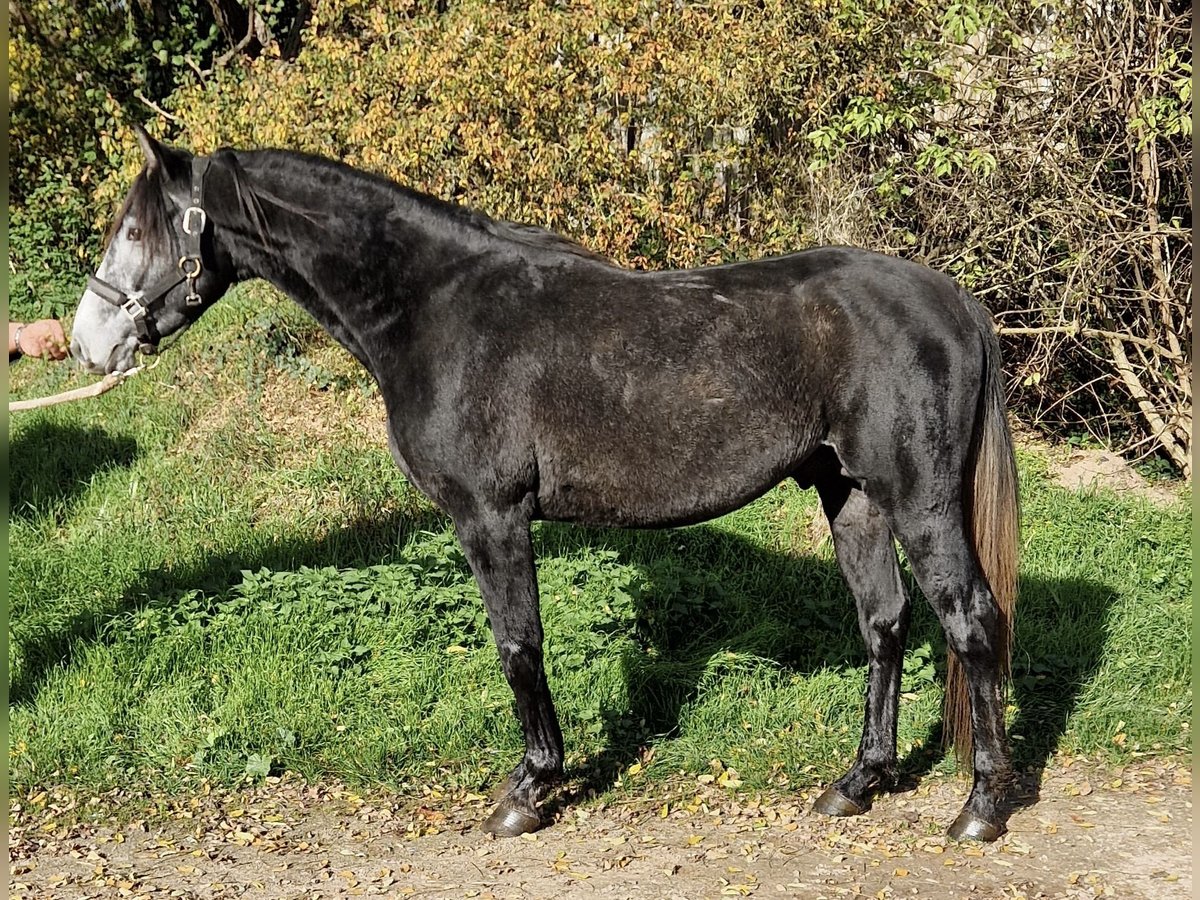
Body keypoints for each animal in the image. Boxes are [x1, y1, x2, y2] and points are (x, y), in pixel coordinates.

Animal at [70, 127, 1017, 844]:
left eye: (135, 231)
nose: (87, 345)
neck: (435, 310)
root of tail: (954, 301)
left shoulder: (490, 518)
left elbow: (518, 647)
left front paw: (529, 790)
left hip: (920, 501)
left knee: (971, 623)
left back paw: (980, 807)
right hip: (848, 494)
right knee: (885, 623)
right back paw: (857, 782)